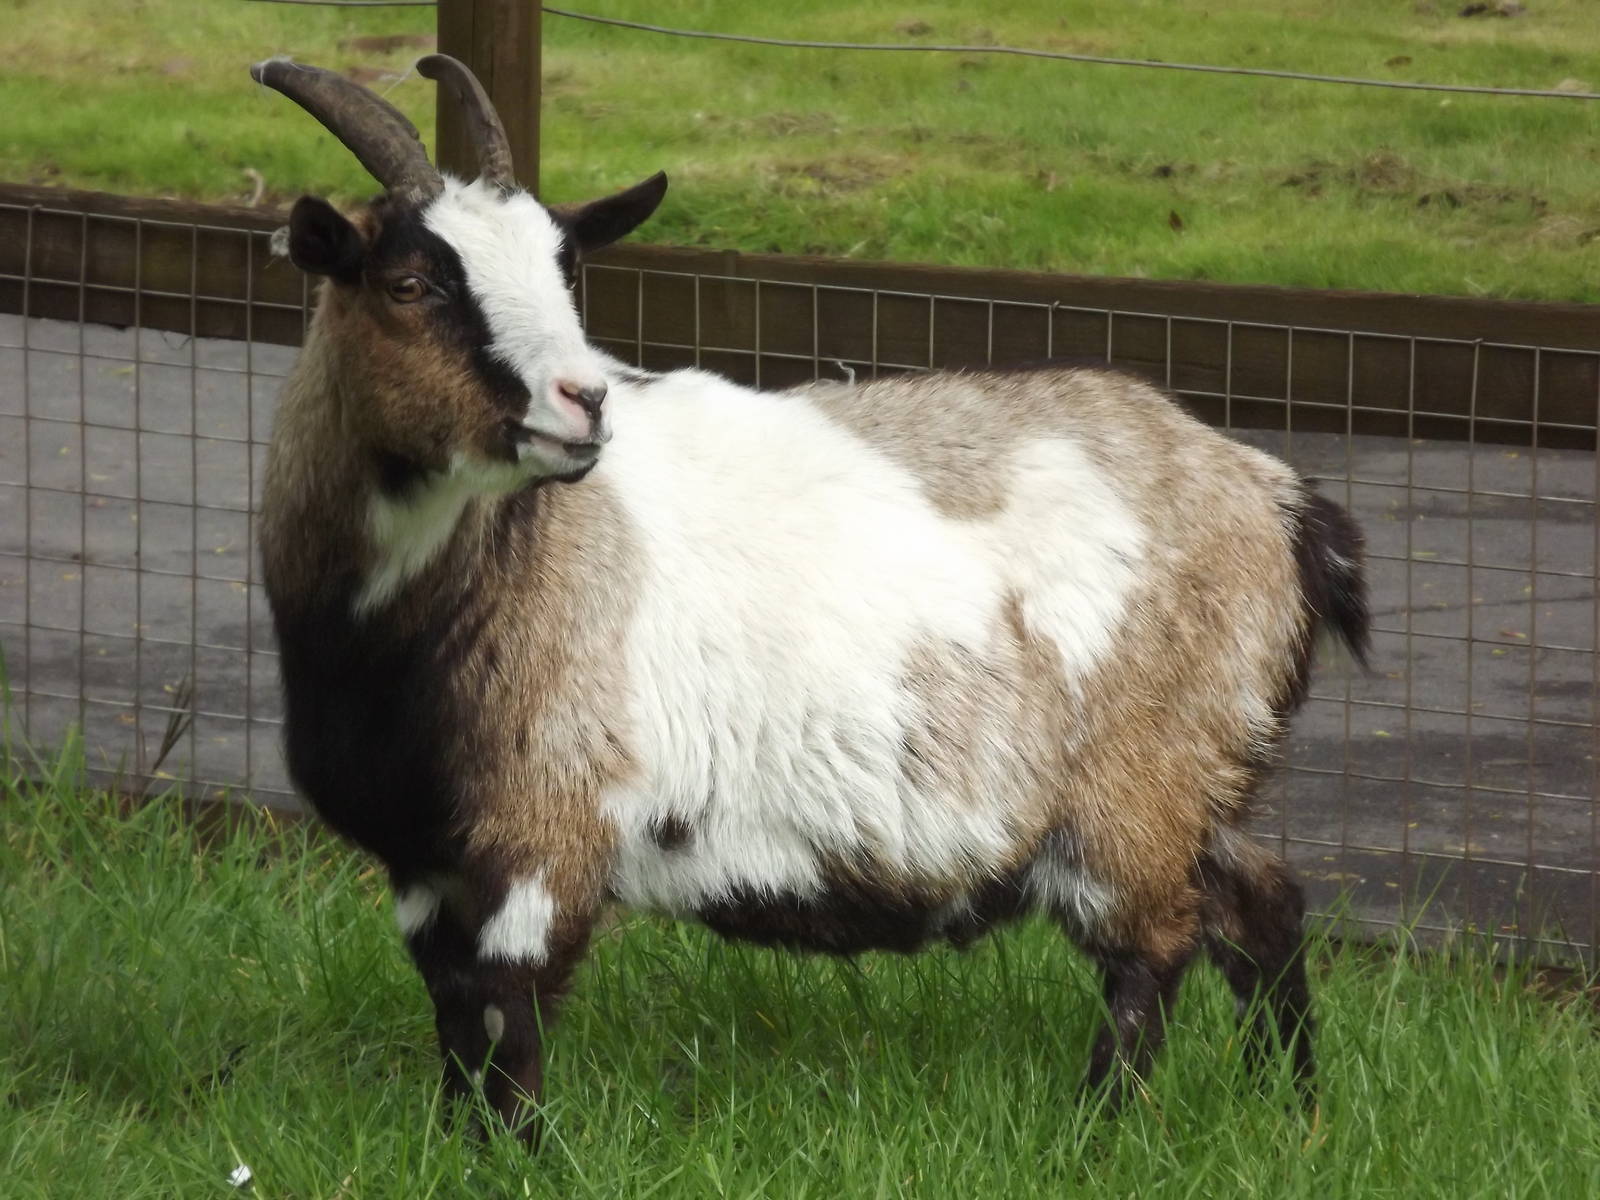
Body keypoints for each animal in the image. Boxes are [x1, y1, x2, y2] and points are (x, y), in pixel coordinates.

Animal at [253, 56, 1368, 1144]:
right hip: (1200, 780)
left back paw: (1094, 1134)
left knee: (1156, 949)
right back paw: (1293, 1111)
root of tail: (1274, 498)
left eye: (565, 269)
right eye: (407, 282)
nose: (584, 403)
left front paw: (515, 1162)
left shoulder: (540, 831)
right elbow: (455, 1027)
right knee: (1264, 903)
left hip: (1138, 791)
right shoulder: (425, 860)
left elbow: (504, 1026)